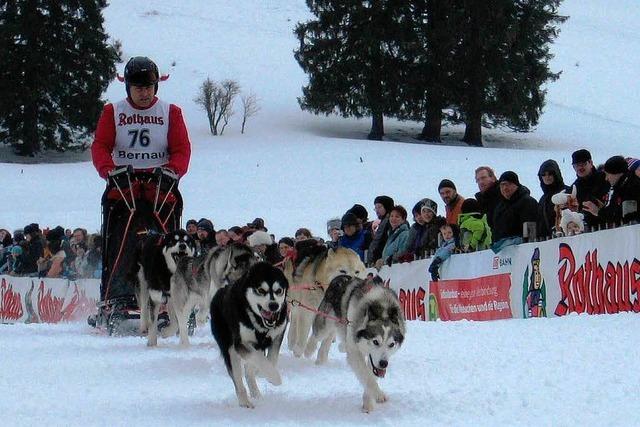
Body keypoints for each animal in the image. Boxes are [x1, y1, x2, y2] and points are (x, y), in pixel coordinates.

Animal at [210, 262, 290, 410]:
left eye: (279, 291)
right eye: (261, 290)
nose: (274, 305)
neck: (259, 322)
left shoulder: (277, 336)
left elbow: (271, 359)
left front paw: (268, 375)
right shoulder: (241, 344)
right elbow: (259, 360)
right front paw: (274, 377)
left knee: (249, 369)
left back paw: (256, 393)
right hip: (230, 350)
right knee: (238, 379)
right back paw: (244, 401)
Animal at [304, 276, 404, 412]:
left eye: (391, 344)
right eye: (375, 341)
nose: (384, 363)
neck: (382, 307)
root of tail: (339, 277)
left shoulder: (373, 361)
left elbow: (370, 375)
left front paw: (368, 403)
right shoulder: (355, 353)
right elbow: (367, 376)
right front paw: (378, 394)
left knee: (329, 338)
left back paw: (324, 355)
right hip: (326, 322)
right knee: (317, 334)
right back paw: (308, 350)